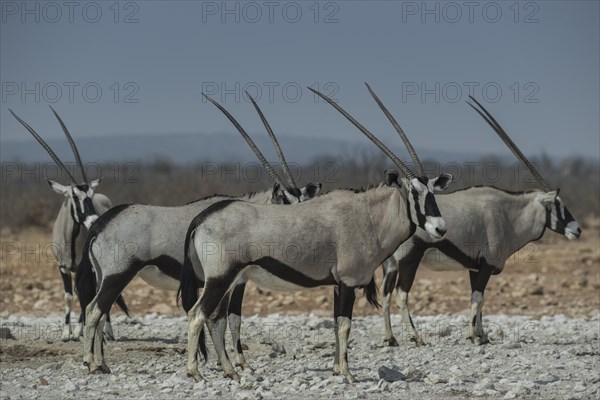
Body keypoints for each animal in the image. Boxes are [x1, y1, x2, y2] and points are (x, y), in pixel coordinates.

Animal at [9, 108, 124, 342]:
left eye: (89, 195)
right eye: (73, 196)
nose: (93, 220)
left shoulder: (83, 267)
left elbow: (83, 295)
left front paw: (79, 331)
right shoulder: (62, 267)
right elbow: (69, 296)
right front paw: (65, 333)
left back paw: (106, 330)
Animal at [77, 92, 322, 374]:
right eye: (285, 203)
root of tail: (100, 224)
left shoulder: (234, 281)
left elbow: (231, 319)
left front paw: (235, 362)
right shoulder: (232, 281)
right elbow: (225, 319)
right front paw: (233, 363)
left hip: (104, 276)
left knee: (99, 309)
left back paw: (102, 363)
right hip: (118, 275)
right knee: (95, 310)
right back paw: (91, 363)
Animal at [180, 83, 452, 382]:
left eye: (433, 191)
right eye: (414, 192)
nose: (439, 227)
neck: (369, 216)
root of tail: (202, 218)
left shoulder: (337, 284)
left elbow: (335, 324)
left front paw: (336, 368)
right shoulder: (348, 282)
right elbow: (345, 325)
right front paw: (348, 374)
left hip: (228, 280)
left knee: (214, 318)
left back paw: (230, 371)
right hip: (220, 278)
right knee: (197, 314)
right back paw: (195, 372)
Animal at [380, 97, 580, 346]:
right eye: (556, 204)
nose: (577, 229)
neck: (508, 214)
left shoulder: (474, 268)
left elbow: (478, 300)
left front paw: (482, 335)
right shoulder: (485, 265)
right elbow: (478, 299)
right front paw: (474, 337)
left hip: (390, 264)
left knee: (385, 294)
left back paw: (390, 338)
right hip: (409, 259)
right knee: (401, 294)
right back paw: (417, 338)